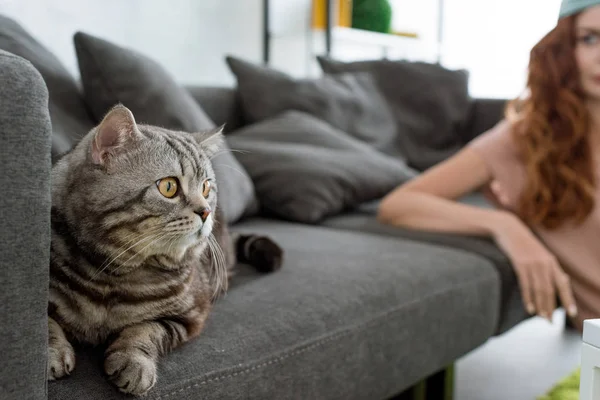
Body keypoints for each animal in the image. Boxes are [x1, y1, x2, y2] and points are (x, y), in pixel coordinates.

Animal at [47, 104, 282, 396]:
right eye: (169, 187)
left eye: (206, 187)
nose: (206, 211)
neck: (114, 276)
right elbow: (45, 323)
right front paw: (51, 352)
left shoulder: (191, 316)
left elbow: (147, 330)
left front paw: (134, 363)